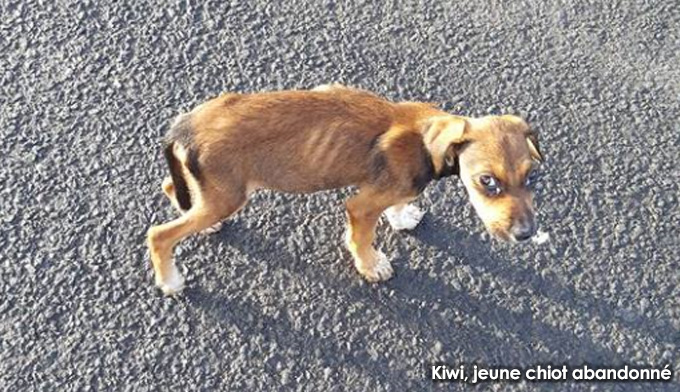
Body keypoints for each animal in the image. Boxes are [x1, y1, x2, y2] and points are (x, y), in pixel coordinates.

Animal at [147, 85, 540, 294]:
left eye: (530, 176)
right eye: (487, 181)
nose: (526, 234)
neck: (423, 138)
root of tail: (186, 125)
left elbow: (399, 205)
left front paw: (402, 217)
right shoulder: (361, 206)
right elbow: (362, 239)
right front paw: (371, 266)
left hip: (210, 189)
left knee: (171, 186)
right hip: (228, 196)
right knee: (159, 235)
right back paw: (170, 281)